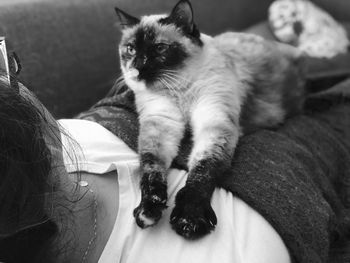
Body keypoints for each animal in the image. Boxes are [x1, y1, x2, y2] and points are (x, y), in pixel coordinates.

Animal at [114, 0, 304, 240]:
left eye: (159, 48)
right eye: (130, 49)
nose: (136, 68)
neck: (179, 91)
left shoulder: (214, 122)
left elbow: (203, 170)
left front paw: (190, 219)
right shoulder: (161, 124)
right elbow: (150, 169)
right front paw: (149, 210)